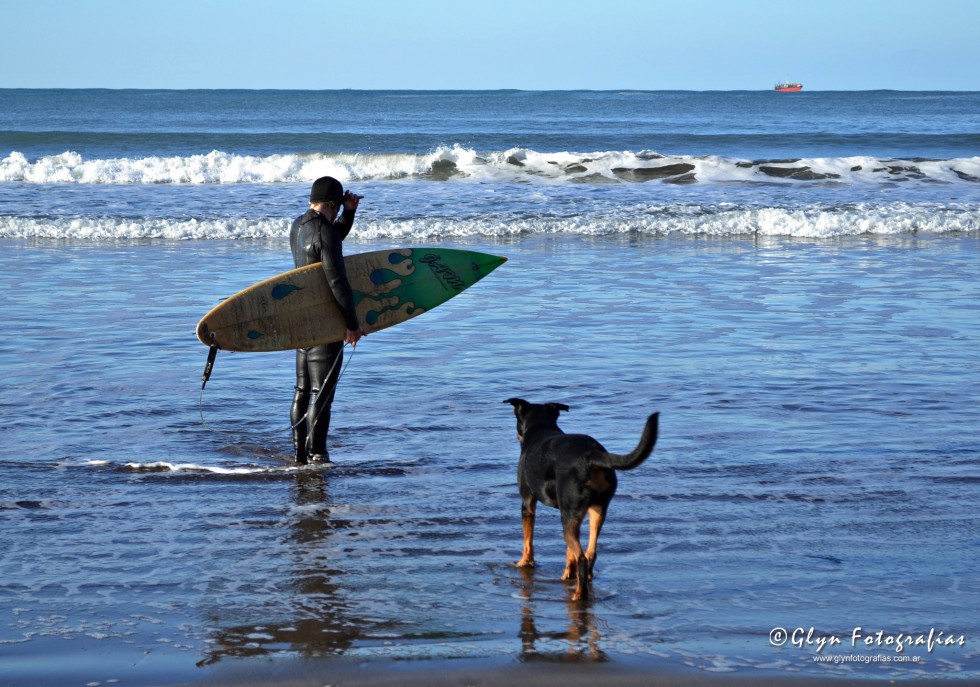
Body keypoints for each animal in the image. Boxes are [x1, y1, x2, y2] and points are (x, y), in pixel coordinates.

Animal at [506, 400, 660, 600]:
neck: (541, 426)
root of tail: (591, 455)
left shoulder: (528, 503)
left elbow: (528, 540)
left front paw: (524, 562)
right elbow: (569, 551)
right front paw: (568, 573)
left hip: (569, 514)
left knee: (582, 558)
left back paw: (579, 595)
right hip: (597, 509)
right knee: (590, 553)